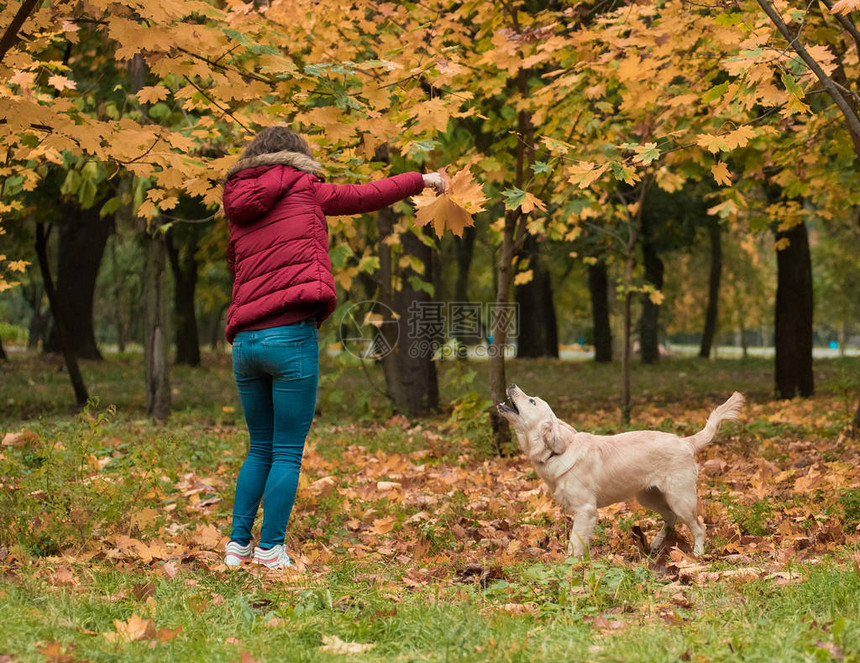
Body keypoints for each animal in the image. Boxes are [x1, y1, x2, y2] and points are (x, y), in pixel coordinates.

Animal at [500, 386, 744, 556]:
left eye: (531, 400)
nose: (511, 384)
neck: (557, 452)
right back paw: (654, 545)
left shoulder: (585, 510)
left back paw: (697, 553)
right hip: (649, 497)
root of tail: (685, 442)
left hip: (680, 499)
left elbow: (574, 545)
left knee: (699, 527)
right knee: (670, 519)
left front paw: (571, 568)